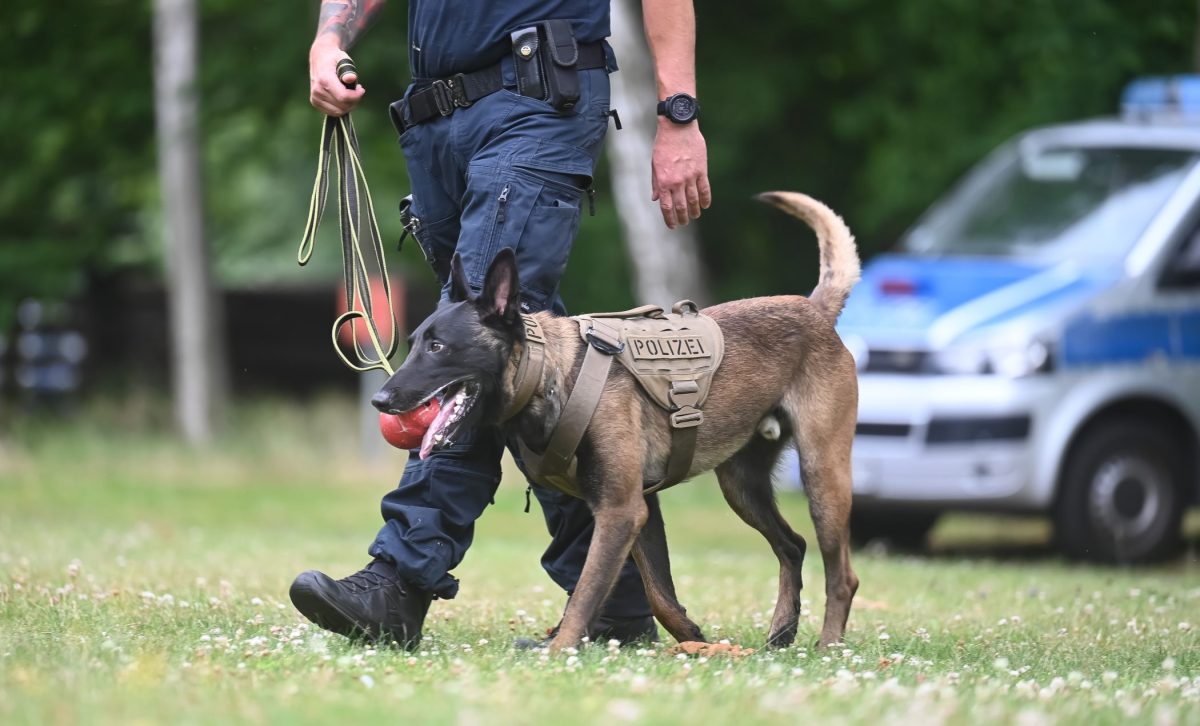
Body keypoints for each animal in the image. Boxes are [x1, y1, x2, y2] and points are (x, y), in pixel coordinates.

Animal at [369, 190, 859, 652]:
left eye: (438, 348)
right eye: (414, 342)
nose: (380, 398)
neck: (550, 375)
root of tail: (814, 310)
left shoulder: (622, 510)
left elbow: (588, 589)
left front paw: (560, 650)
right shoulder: (641, 509)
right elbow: (658, 592)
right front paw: (693, 638)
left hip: (822, 475)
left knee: (841, 574)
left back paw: (828, 644)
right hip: (742, 485)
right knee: (793, 546)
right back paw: (782, 631)